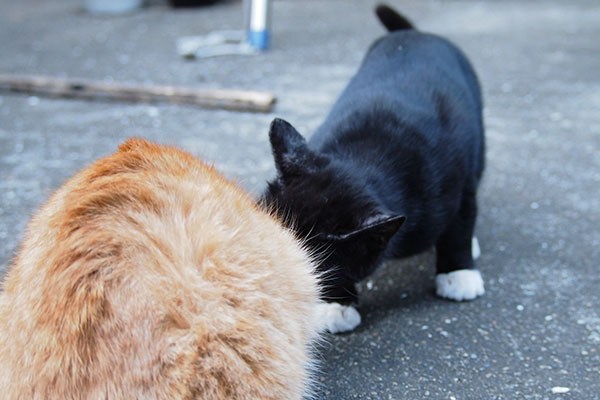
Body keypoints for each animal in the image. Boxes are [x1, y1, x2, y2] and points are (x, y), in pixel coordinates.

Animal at [262, 4, 482, 332]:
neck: (363, 161)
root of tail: (413, 34)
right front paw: (337, 305)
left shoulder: (459, 177)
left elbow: (460, 222)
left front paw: (458, 272)